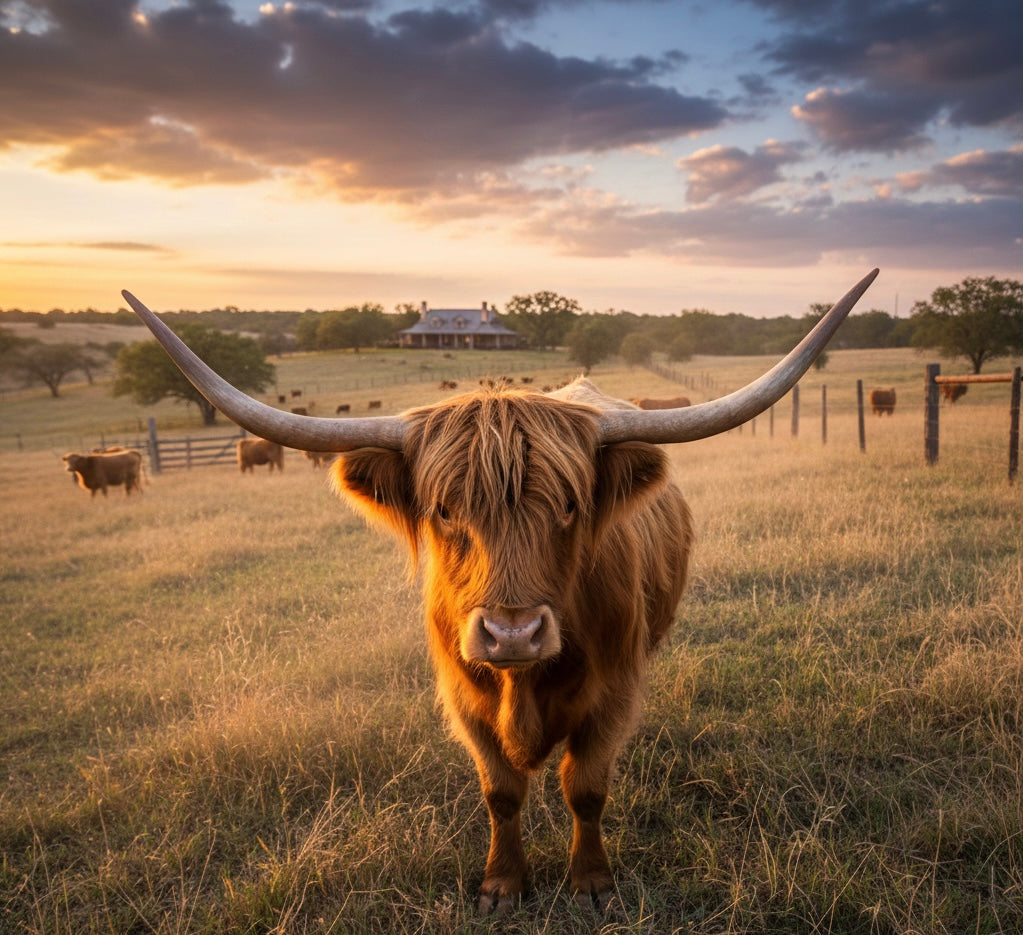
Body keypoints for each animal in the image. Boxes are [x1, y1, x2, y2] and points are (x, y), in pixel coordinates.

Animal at [120, 269, 877, 913]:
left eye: (569, 505)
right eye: (444, 508)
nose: (512, 632)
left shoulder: (612, 693)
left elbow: (586, 787)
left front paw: (591, 882)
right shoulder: (464, 699)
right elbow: (501, 792)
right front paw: (502, 884)